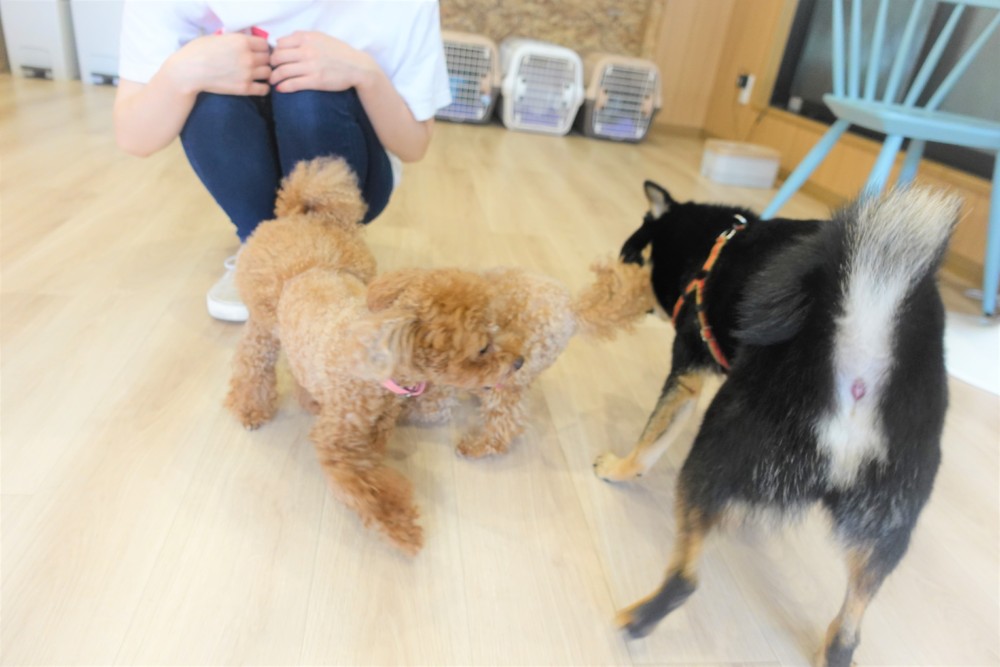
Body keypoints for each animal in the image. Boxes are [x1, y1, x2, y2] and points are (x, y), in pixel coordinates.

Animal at [226, 157, 525, 555]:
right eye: (481, 348)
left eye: (497, 326)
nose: (520, 361)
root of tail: (295, 214)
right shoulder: (341, 446)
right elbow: (371, 492)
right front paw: (403, 530)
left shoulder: (379, 423)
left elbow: (375, 454)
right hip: (263, 325)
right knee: (251, 363)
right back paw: (251, 408)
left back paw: (310, 400)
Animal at [400, 261, 656, 458]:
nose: (517, 361)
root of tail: (572, 309)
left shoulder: (438, 390)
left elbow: (426, 407)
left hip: (511, 380)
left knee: (505, 424)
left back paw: (476, 446)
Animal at [593, 182, 961, 667]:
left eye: (632, 255)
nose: (621, 274)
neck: (714, 245)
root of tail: (862, 352)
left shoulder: (689, 370)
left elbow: (650, 441)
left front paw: (618, 468)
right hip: (889, 518)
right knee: (850, 627)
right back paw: (833, 649)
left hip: (720, 442)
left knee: (684, 579)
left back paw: (635, 619)